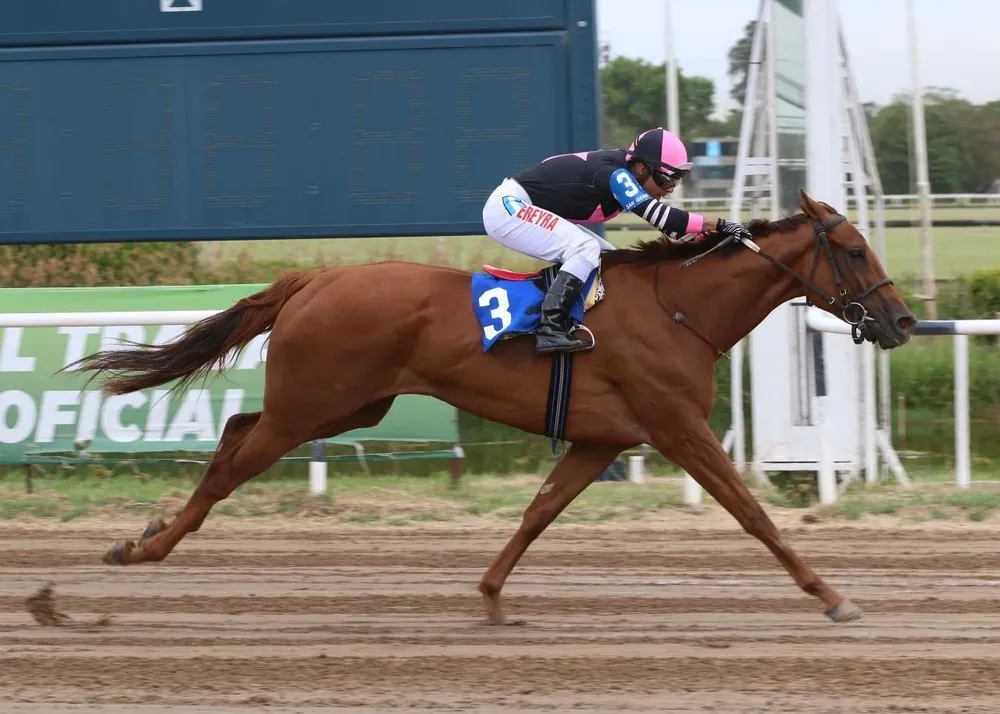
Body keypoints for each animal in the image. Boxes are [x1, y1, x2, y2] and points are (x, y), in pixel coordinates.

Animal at [72, 190, 917, 624]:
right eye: (855, 251)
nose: (903, 322)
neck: (679, 309)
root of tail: (314, 277)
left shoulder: (601, 440)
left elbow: (538, 512)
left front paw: (491, 596)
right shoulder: (678, 427)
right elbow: (753, 513)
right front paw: (831, 595)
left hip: (347, 406)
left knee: (233, 431)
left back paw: (149, 534)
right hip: (312, 405)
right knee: (231, 464)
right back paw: (141, 550)